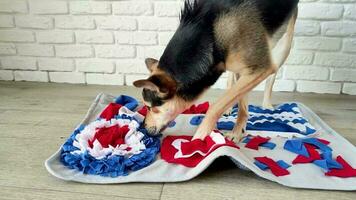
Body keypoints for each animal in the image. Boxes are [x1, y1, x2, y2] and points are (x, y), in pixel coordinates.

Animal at [133, 0, 298, 142]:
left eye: (149, 107)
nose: (143, 128)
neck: (210, 35)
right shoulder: (246, 69)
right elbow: (241, 105)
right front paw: (238, 131)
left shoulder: (260, 69)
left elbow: (215, 108)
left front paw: (198, 139)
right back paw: (230, 108)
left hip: (283, 46)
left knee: (271, 77)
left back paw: (267, 105)